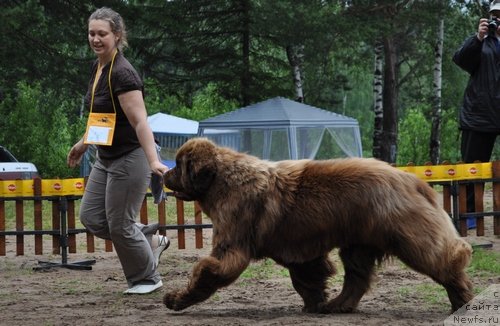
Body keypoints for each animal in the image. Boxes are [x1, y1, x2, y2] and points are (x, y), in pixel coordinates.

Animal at [163, 137, 472, 314]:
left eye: (179, 165)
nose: (164, 173)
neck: (222, 180)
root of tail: (412, 180)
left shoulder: (233, 242)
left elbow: (207, 272)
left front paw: (176, 299)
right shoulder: (298, 249)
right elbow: (306, 277)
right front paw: (315, 303)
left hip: (407, 236)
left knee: (444, 259)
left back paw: (462, 298)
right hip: (358, 244)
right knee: (356, 278)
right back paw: (337, 306)